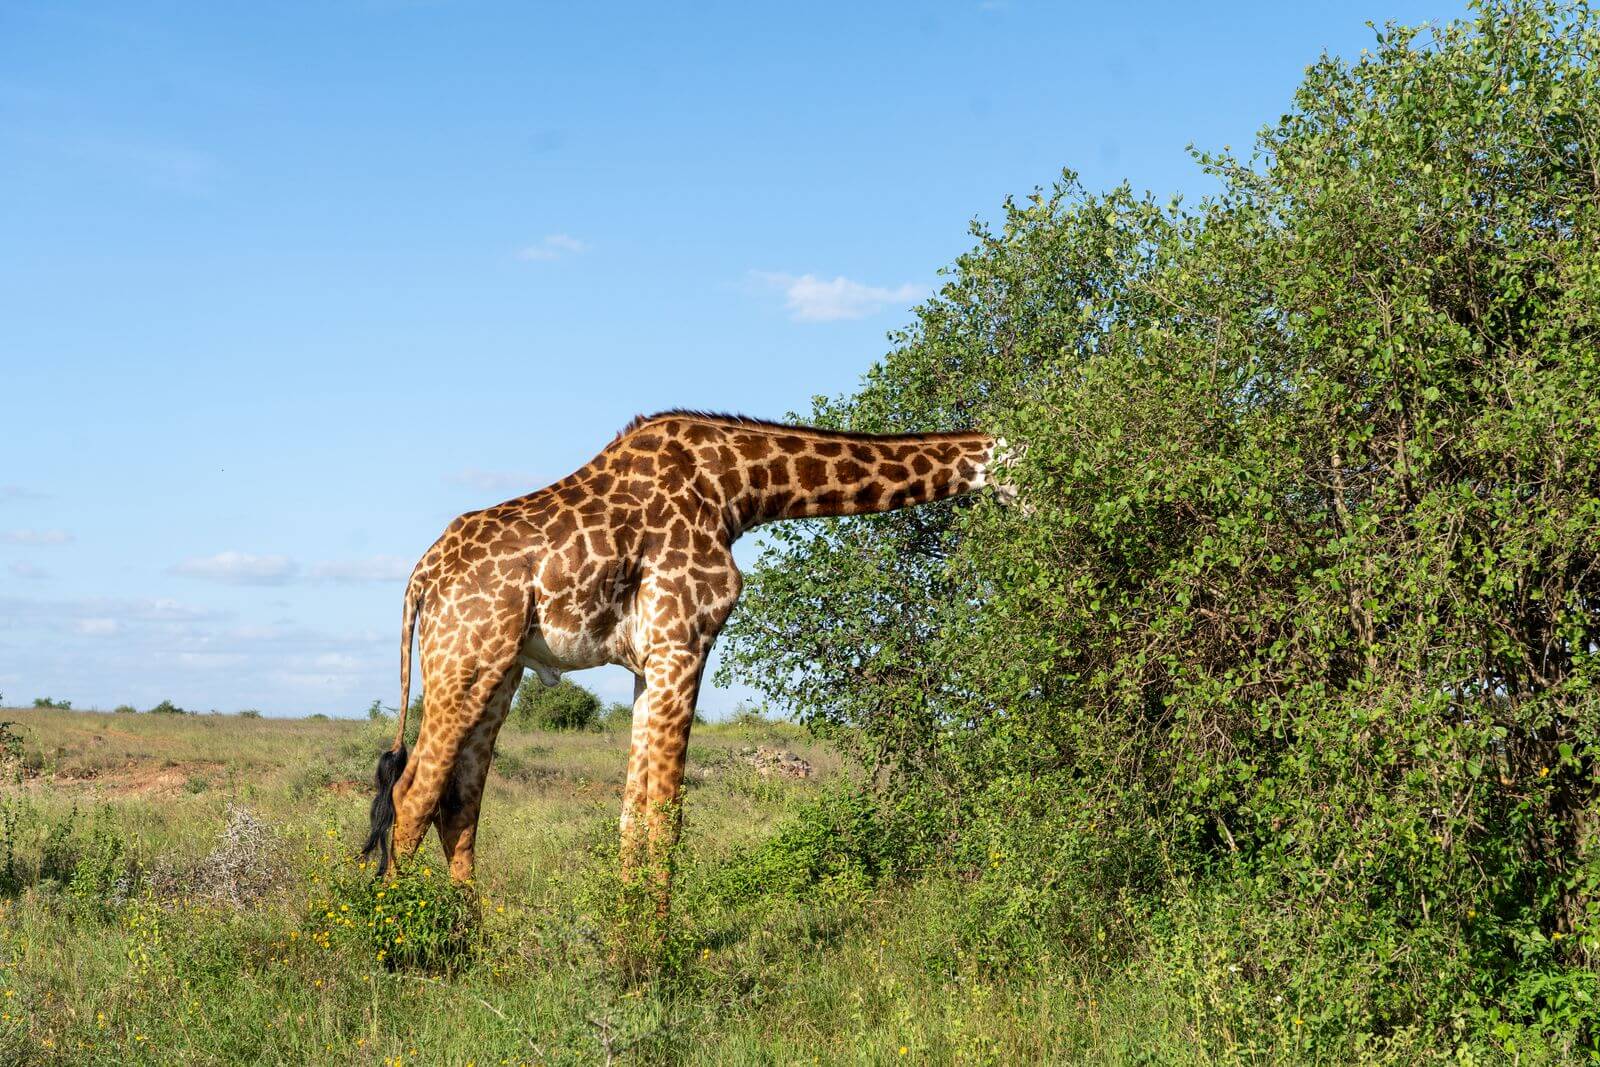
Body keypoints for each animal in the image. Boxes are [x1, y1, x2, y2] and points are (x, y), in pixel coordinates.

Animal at [363, 411, 1016, 905]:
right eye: (1022, 460)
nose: (1036, 504)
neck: (739, 490)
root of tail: (421, 577)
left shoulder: (648, 663)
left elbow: (632, 818)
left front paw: (625, 947)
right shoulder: (685, 640)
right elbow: (668, 817)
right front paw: (653, 965)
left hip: (501, 670)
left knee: (459, 803)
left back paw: (470, 942)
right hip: (467, 657)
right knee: (412, 795)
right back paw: (400, 942)